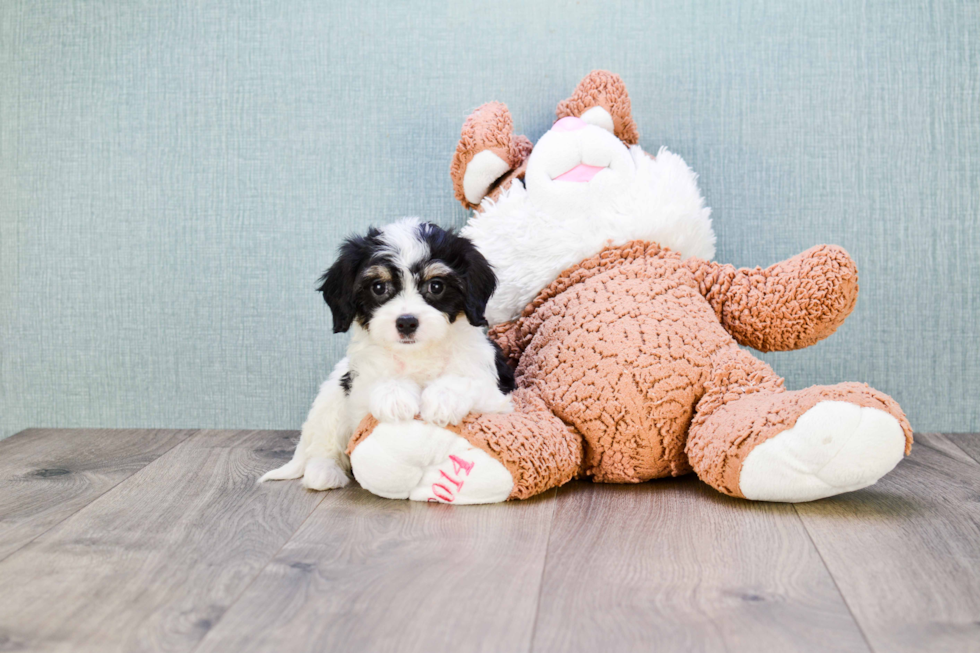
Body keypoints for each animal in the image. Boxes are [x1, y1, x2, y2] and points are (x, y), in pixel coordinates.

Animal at [256, 218, 516, 488]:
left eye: (436, 286)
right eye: (379, 287)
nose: (407, 322)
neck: (417, 354)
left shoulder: (499, 394)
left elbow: (467, 382)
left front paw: (443, 399)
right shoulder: (357, 390)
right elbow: (377, 384)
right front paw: (395, 397)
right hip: (331, 398)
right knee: (323, 442)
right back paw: (324, 471)